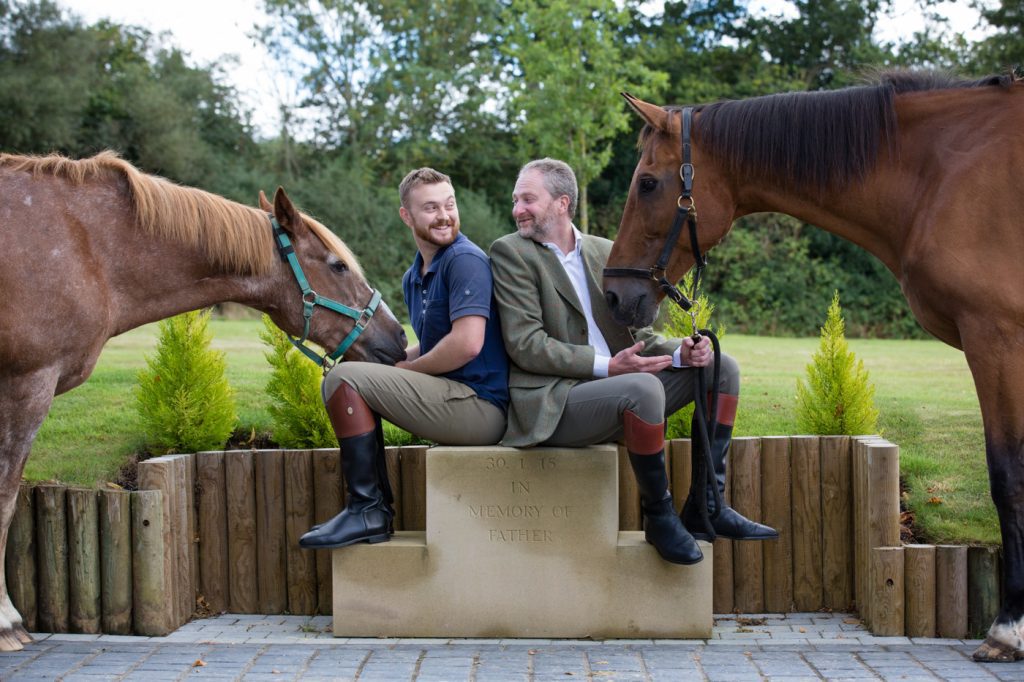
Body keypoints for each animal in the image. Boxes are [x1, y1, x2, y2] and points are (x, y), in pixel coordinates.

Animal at [0, 148, 407, 647]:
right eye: (337, 265)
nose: (398, 337)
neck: (90, 250)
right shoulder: (27, 384)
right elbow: (6, 498)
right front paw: (8, 621)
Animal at [602, 73, 1024, 659]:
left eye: (647, 183)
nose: (615, 295)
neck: (939, 176)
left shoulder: (997, 339)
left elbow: (1007, 475)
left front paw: (1008, 627)